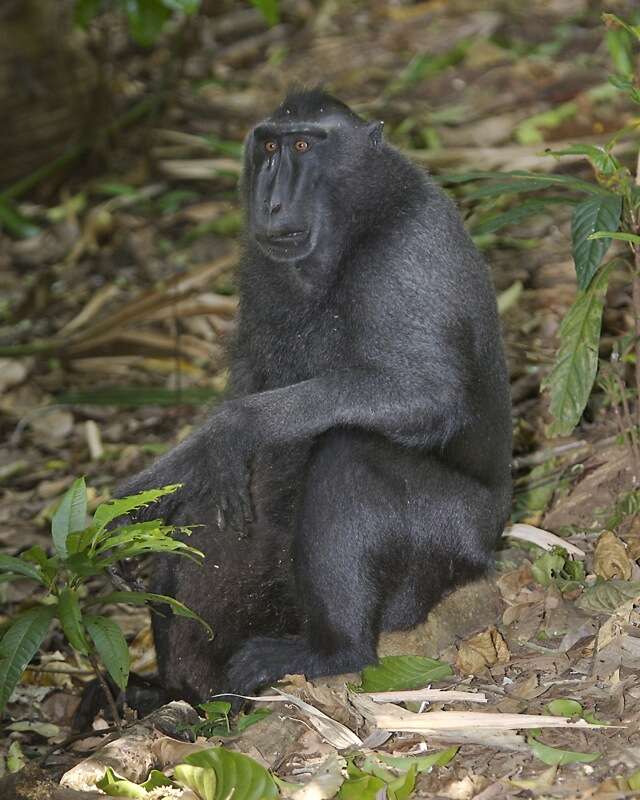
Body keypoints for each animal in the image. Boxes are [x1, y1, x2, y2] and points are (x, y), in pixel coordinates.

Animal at [116, 89, 510, 708]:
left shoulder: (407, 252)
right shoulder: (256, 272)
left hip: (455, 534)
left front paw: (237, 425)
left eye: (303, 145)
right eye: (268, 147)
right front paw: (139, 503)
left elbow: (430, 394)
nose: (272, 203)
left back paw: (333, 653)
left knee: (348, 455)